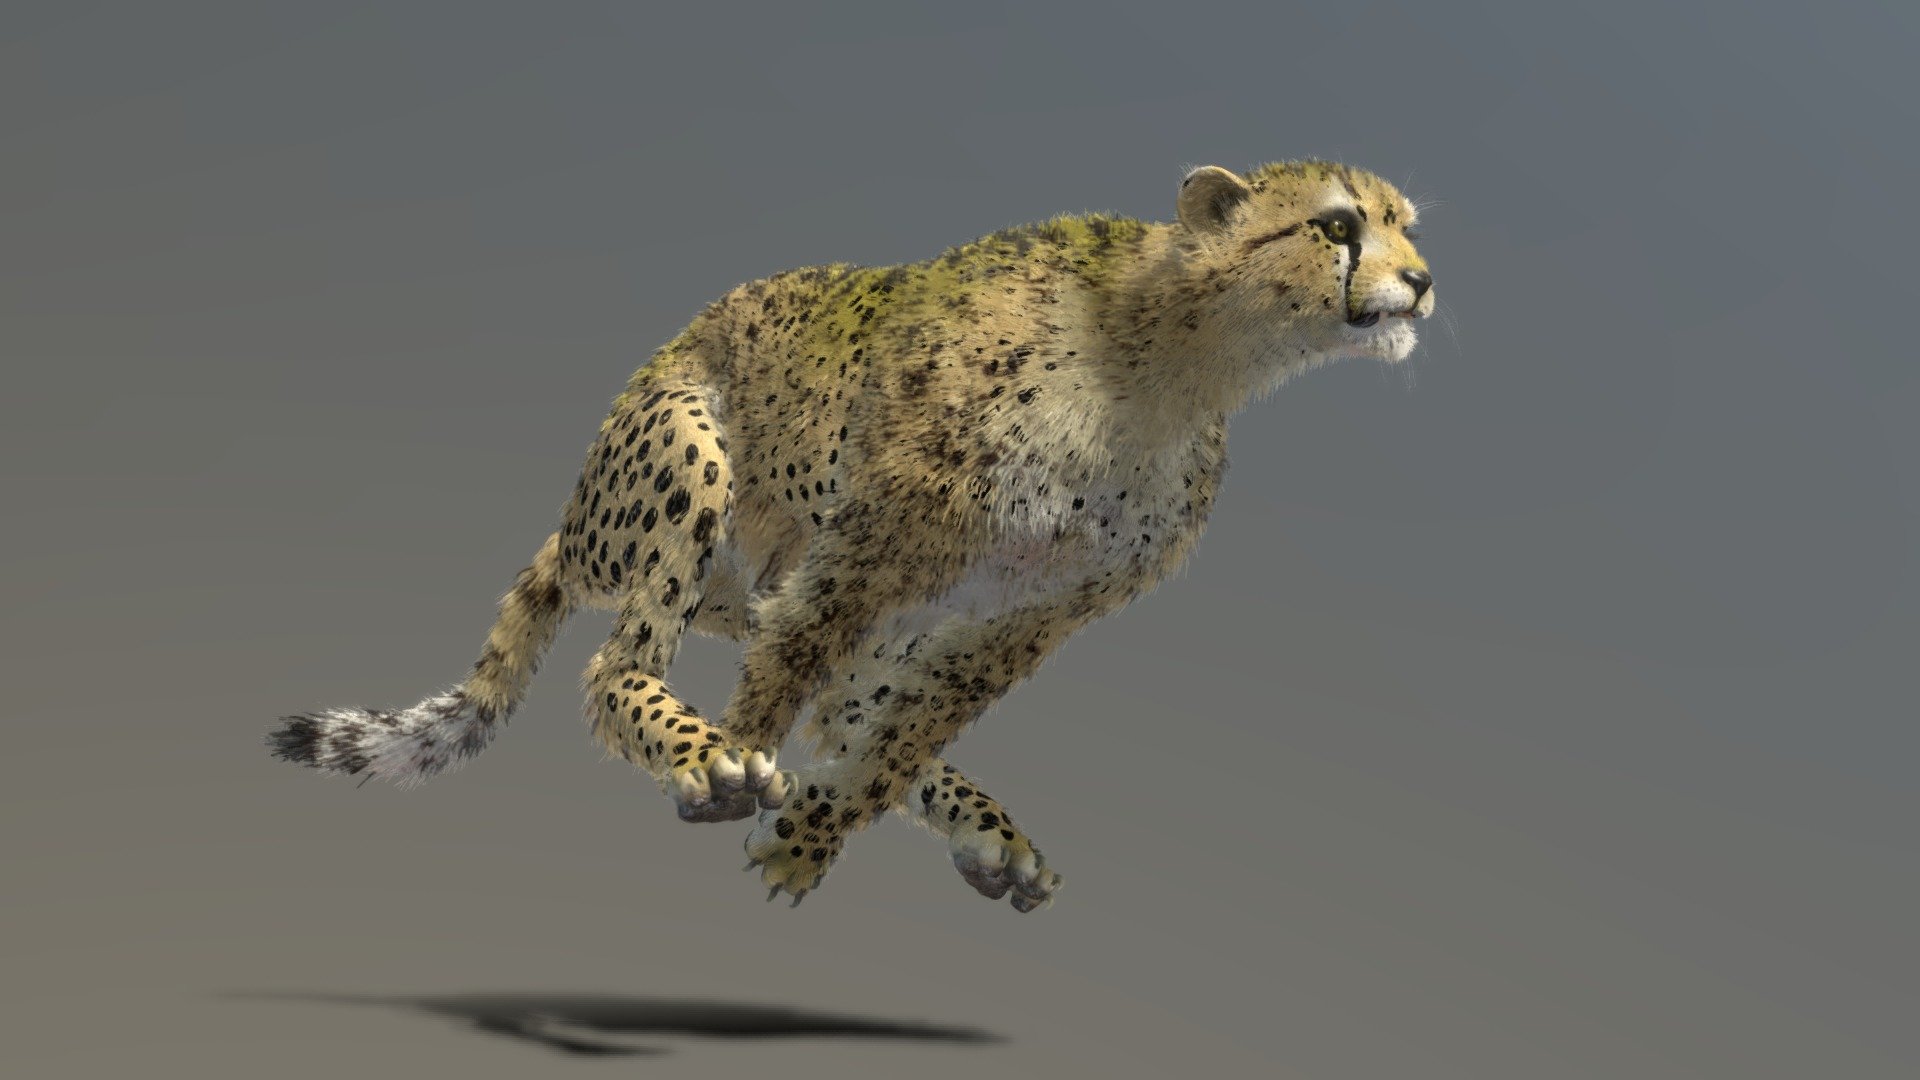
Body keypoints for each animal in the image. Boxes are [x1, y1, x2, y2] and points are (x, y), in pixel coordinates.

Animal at [267, 159, 1436, 912]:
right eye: (1337, 226)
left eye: (1408, 225)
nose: (1423, 281)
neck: (1175, 362)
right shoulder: (870, 546)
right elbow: (791, 681)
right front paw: (735, 766)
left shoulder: (1032, 610)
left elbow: (900, 733)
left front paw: (807, 838)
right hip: (688, 459)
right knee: (622, 664)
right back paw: (704, 751)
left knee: (847, 707)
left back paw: (979, 829)